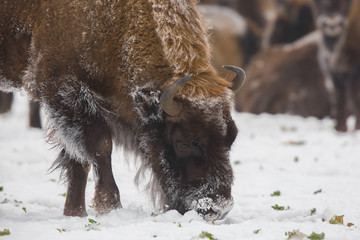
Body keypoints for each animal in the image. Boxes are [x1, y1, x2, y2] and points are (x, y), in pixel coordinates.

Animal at [0, 0, 245, 221]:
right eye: (183, 143)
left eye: (232, 137)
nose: (218, 208)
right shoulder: (62, 88)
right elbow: (100, 145)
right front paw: (110, 206)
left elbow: (78, 160)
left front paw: (74, 213)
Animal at [312, 0, 360, 131]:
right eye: (315, 2)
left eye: (348, 2)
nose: (331, 23)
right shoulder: (334, 72)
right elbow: (340, 97)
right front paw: (340, 129)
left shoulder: (354, 71)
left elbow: (354, 95)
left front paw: (356, 128)